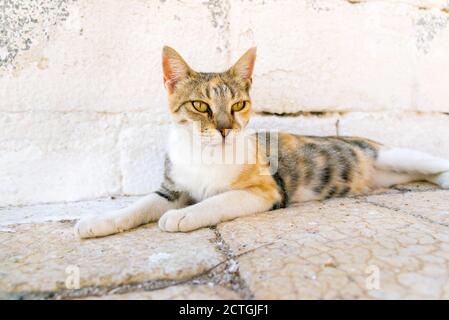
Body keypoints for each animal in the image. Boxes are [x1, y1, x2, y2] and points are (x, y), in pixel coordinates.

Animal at [73, 46, 448, 239]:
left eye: (238, 105)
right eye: (200, 106)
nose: (225, 129)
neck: (204, 155)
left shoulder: (266, 190)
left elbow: (215, 201)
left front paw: (183, 216)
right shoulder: (171, 188)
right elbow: (137, 206)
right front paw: (97, 221)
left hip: (396, 154)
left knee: (433, 163)